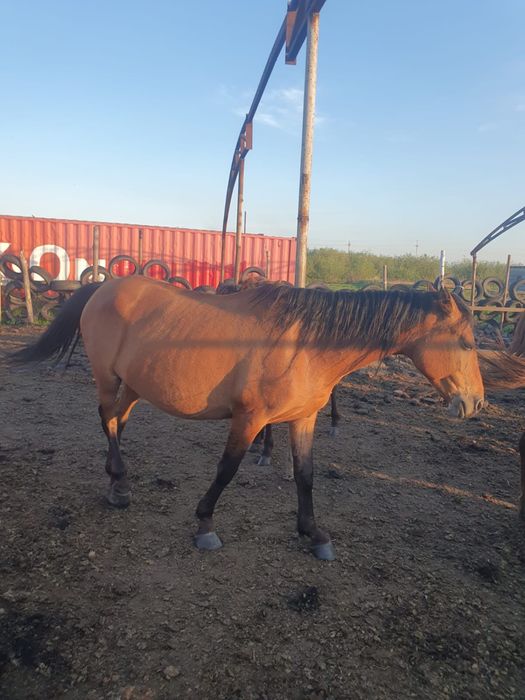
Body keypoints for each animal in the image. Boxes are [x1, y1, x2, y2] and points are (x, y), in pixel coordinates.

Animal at [12, 277, 484, 561]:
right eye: (466, 343)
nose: (475, 403)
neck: (306, 344)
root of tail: (103, 286)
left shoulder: (303, 419)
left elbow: (305, 475)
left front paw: (314, 534)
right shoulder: (249, 419)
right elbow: (227, 469)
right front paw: (204, 525)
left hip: (133, 383)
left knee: (116, 421)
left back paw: (119, 480)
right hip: (108, 377)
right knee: (107, 420)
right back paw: (119, 486)